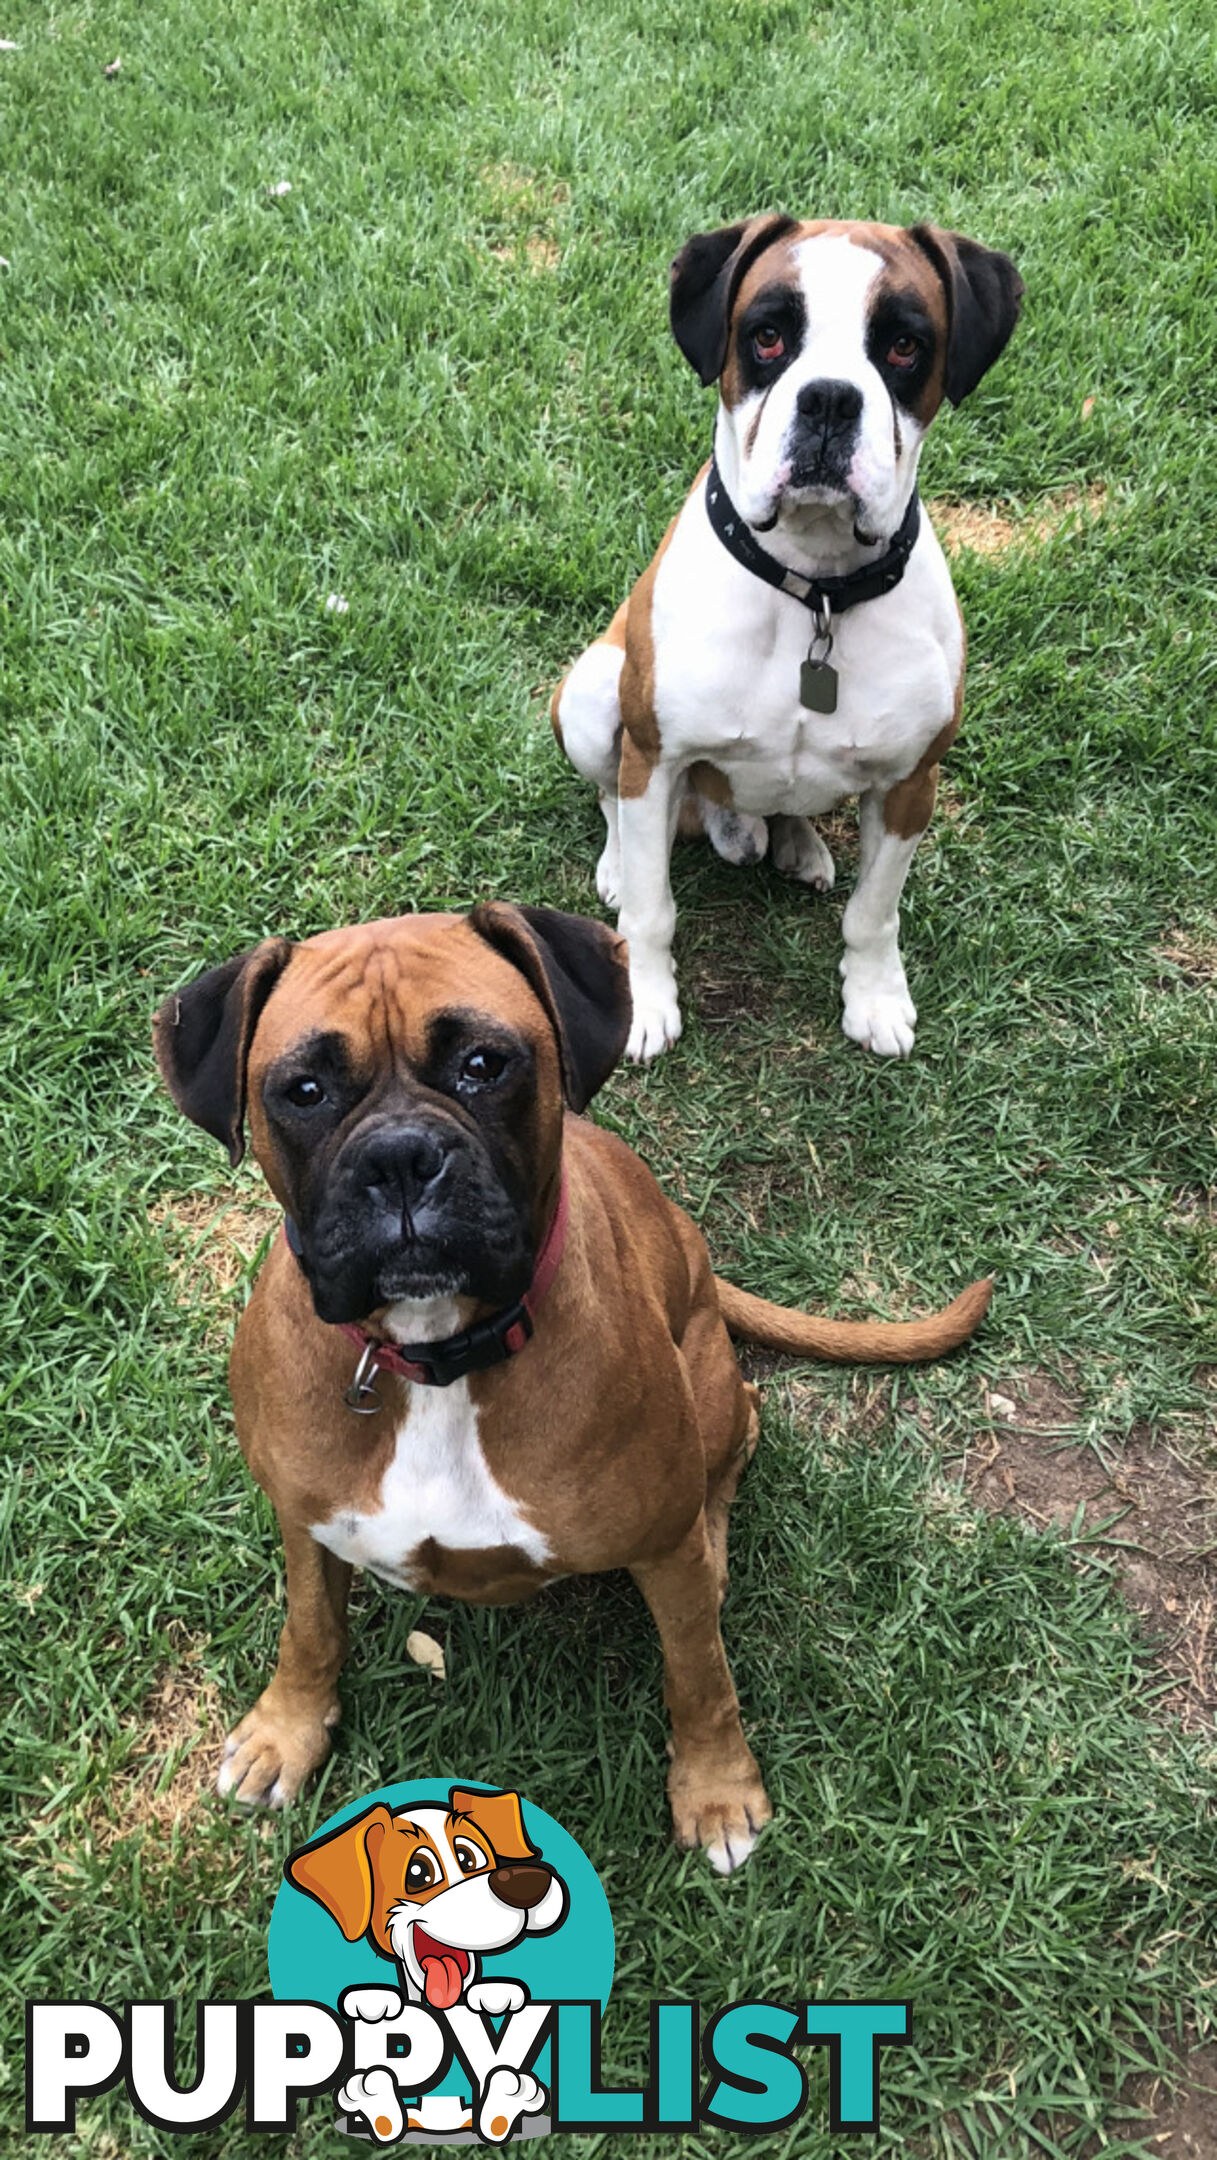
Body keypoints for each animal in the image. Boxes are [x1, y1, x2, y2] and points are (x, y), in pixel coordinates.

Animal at [154, 907, 990, 1874]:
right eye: (304, 1089)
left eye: (484, 1064)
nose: (400, 1158)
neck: (439, 1357)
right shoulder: (305, 1517)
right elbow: (310, 1626)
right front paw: (283, 1733)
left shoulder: (661, 1550)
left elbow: (698, 1675)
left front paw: (716, 1791)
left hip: (707, 1388)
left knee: (734, 1453)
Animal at [557, 219, 1024, 1062]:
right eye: (767, 335)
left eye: (903, 345)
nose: (830, 398)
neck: (815, 588)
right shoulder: (657, 757)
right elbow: (651, 907)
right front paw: (643, 1000)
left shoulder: (910, 783)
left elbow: (873, 913)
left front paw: (873, 997)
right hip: (593, 691)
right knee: (612, 799)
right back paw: (615, 862)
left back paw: (797, 842)